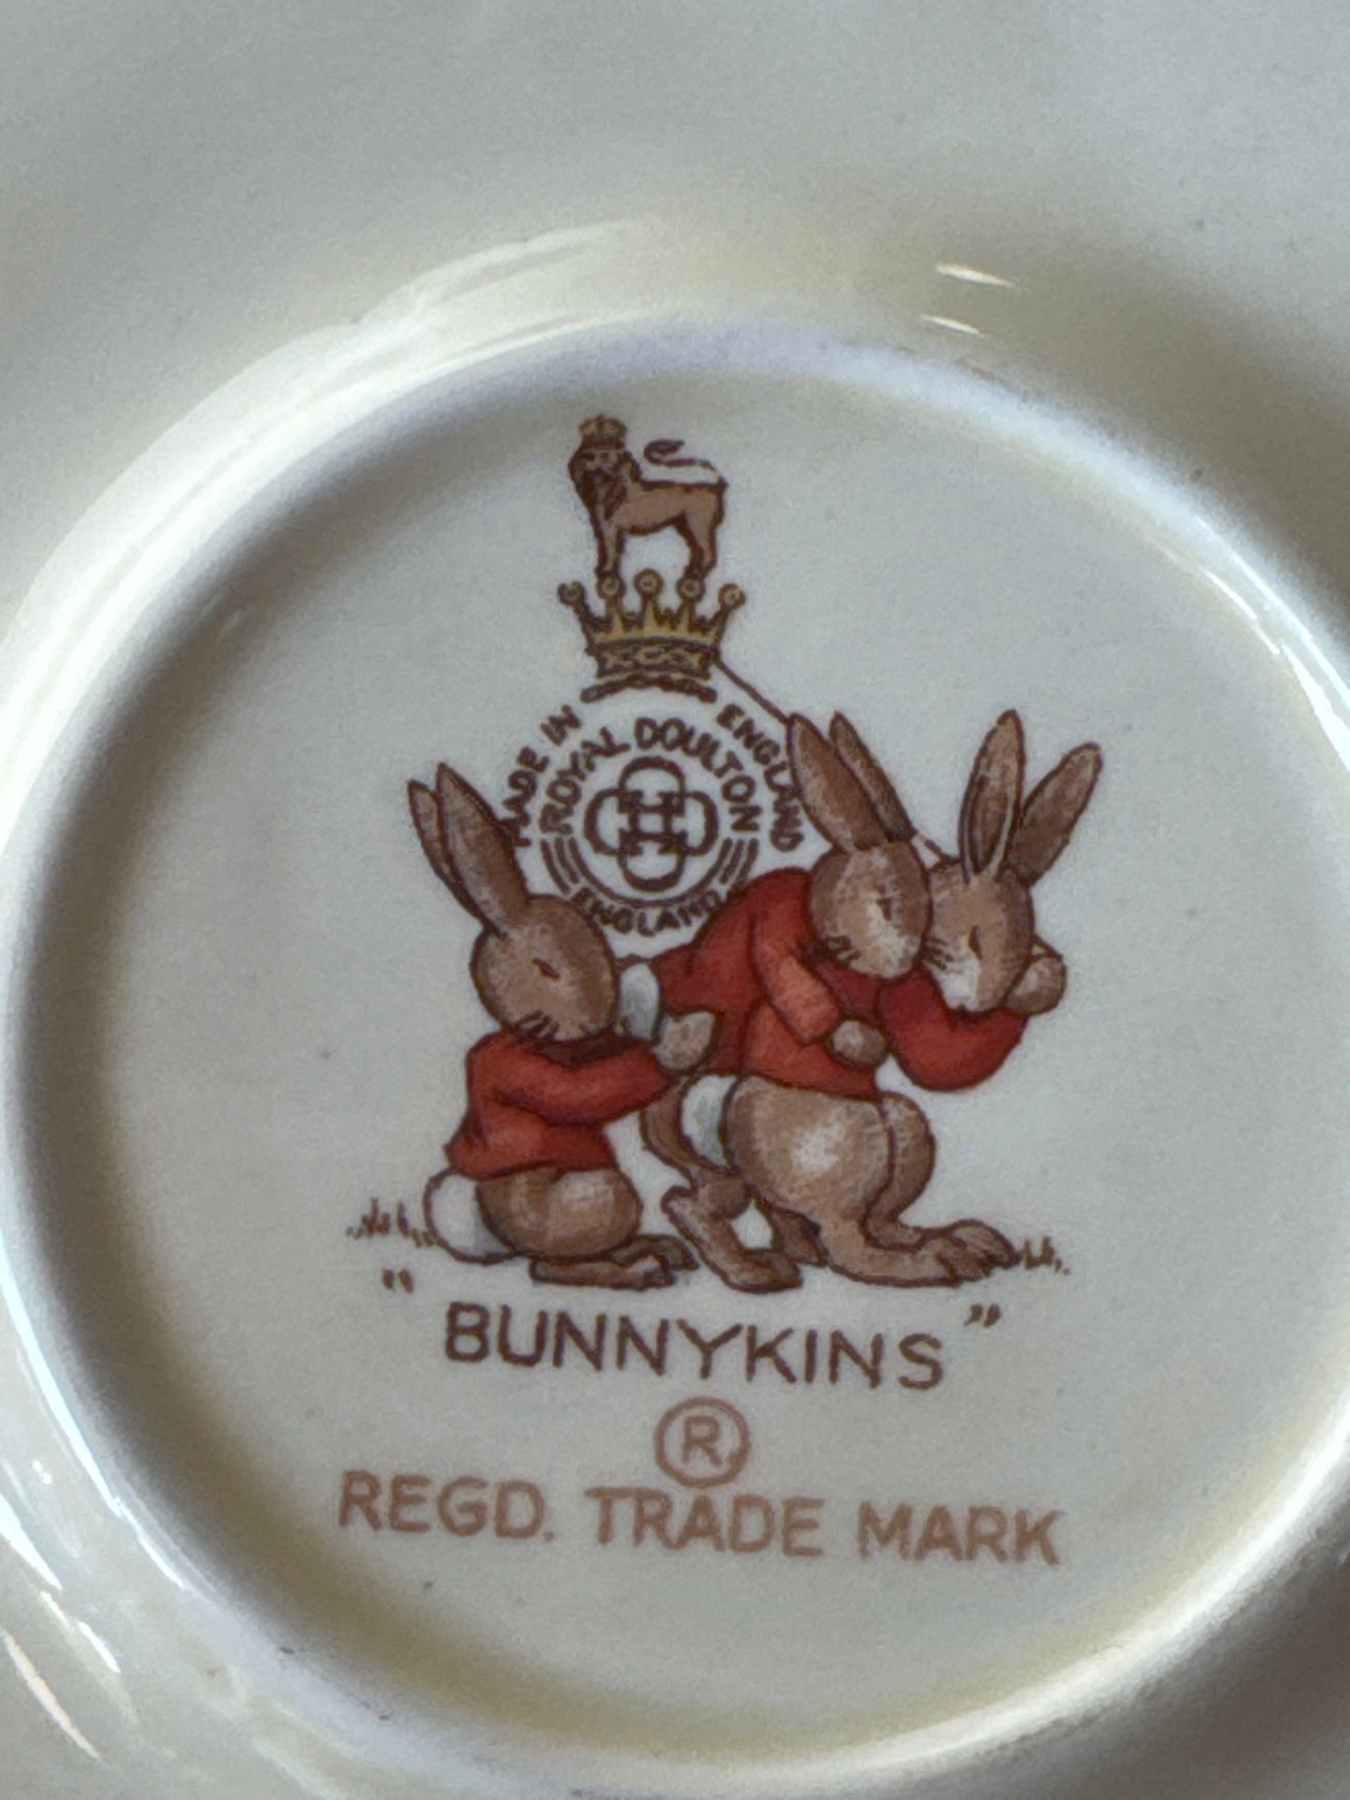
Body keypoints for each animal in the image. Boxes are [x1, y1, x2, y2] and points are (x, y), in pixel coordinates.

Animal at [409, 761, 712, 1290]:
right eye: (547, 967)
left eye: (599, 945)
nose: (597, 1013)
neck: (533, 1035)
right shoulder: (519, 1068)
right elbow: (580, 1092)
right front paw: (680, 1044)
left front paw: (640, 986)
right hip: (586, 1198)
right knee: (549, 1265)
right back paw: (638, 1269)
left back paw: (654, 1248)